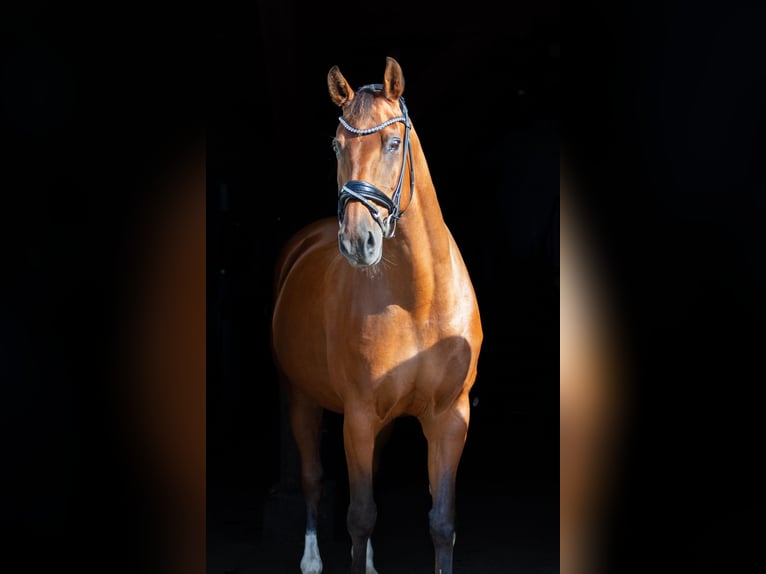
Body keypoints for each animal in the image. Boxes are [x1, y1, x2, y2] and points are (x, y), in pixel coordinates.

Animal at [271, 57, 483, 574]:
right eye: (336, 145)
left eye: (392, 143)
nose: (357, 240)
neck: (419, 301)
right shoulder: (360, 416)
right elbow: (360, 516)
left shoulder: (450, 417)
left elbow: (442, 523)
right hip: (301, 398)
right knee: (312, 478)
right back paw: (311, 559)